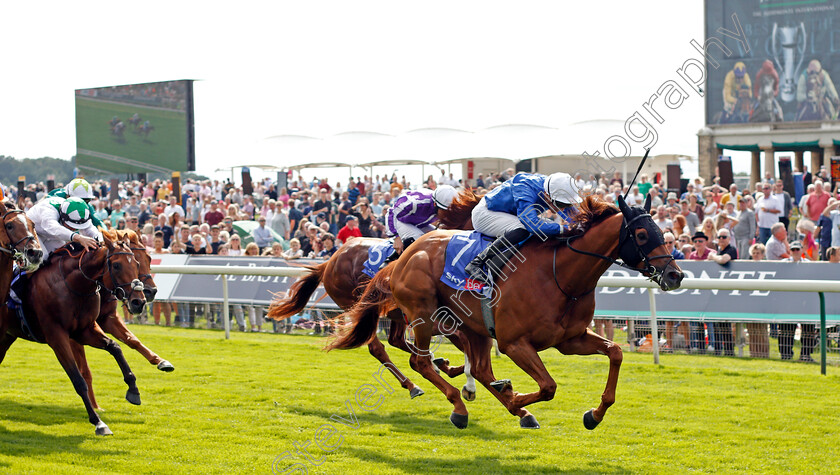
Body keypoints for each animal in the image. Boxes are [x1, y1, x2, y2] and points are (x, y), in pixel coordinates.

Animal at [0, 236, 148, 436]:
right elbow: (78, 379)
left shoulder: (84, 331)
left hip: (7, 335)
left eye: (137, 263)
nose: (139, 302)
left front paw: (133, 390)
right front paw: (98, 422)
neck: (73, 285)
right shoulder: (57, 336)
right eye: (117, 265)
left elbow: (114, 347)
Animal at [73, 230, 175, 410]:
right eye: (117, 266)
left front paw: (160, 361)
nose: (150, 292)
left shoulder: (108, 318)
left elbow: (132, 339)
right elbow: (85, 370)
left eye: (148, 258)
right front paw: (94, 405)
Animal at [266, 190, 482, 402]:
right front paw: (469, 385)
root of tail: (331, 260)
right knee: (378, 349)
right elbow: (464, 342)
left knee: (397, 340)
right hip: (358, 307)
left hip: (394, 313)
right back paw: (413, 384)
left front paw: (460, 374)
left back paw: (437, 365)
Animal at [328, 196, 684, 432]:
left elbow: (615, 352)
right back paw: (457, 405)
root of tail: (403, 256)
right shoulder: (514, 343)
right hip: (424, 313)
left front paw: (594, 415)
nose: (676, 274)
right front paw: (513, 398)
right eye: (642, 235)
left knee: (477, 367)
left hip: (469, 325)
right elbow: (549, 386)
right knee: (418, 360)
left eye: (661, 231)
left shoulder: (570, 339)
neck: (561, 275)